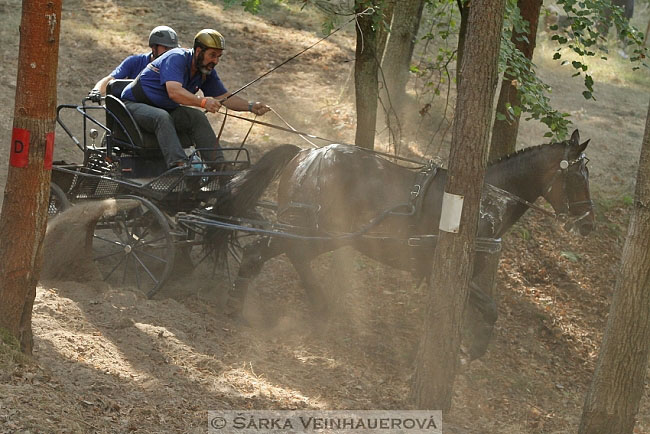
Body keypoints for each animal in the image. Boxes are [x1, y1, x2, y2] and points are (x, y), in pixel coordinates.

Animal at [213, 130, 592, 360]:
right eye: (577, 177)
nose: (587, 222)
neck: (483, 201)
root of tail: (308, 153)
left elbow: (469, 311)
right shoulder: (450, 274)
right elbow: (484, 310)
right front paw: (465, 351)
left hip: (322, 233)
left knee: (290, 255)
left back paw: (317, 306)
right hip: (306, 226)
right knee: (262, 253)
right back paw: (237, 305)